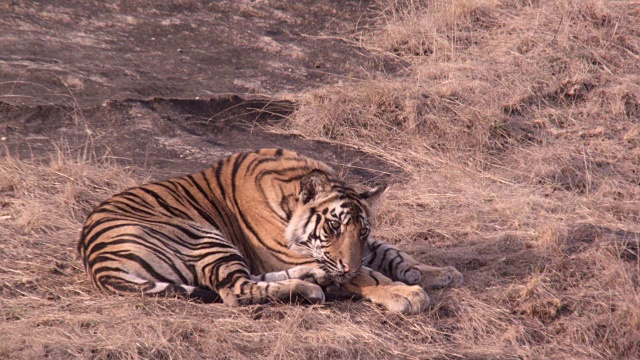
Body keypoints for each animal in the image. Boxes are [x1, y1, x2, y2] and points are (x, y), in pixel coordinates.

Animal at [77, 148, 462, 314]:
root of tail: (97, 264)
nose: (348, 263)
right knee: (236, 290)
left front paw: (436, 271)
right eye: (333, 226)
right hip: (203, 237)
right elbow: (368, 275)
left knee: (248, 280)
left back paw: (312, 278)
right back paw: (310, 288)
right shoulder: (310, 254)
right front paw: (405, 293)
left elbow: (391, 252)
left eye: (362, 231)